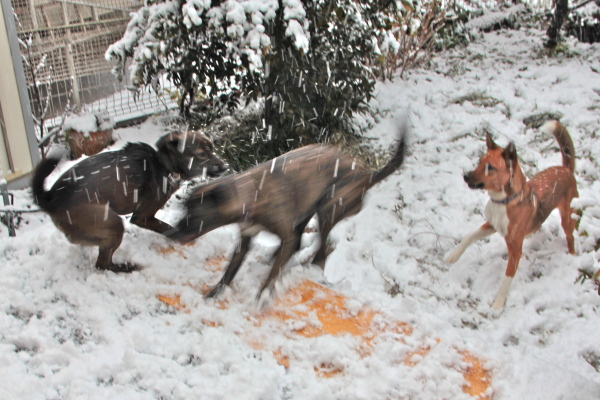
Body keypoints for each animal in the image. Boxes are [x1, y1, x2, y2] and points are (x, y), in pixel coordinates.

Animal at [34, 130, 229, 272]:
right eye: (202, 154)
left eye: (213, 148)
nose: (226, 166)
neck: (164, 165)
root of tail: (50, 198)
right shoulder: (143, 216)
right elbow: (166, 227)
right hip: (112, 223)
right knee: (102, 264)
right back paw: (128, 267)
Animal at [446, 121, 576, 310]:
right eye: (479, 162)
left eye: (490, 167)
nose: (465, 176)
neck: (503, 201)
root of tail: (565, 169)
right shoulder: (491, 225)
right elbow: (469, 237)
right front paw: (453, 255)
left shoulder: (515, 251)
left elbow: (507, 279)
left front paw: (498, 305)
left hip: (566, 217)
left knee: (570, 236)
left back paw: (572, 256)